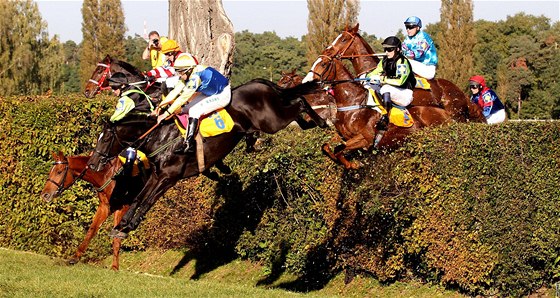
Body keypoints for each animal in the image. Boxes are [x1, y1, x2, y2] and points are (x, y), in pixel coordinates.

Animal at [87, 78, 328, 239]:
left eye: (105, 138)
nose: (93, 164)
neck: (160, 138)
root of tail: (259, 83)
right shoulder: (156, 176)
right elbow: (139, 198)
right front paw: (122, 226)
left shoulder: (168, 177)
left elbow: (147, 200)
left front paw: (129, 225)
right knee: (296, 103)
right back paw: (303, 126)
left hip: (272, 121)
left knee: (300, 101)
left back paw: (321, 122)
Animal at [302, 54, 450, 169]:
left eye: (323, 64)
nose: (307, 82)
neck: (353, 103)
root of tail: (444, 113)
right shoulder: (344, 137)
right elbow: (326, 146)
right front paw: (345, 162)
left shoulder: (366, 139)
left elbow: (338, 149)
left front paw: (353, 165)